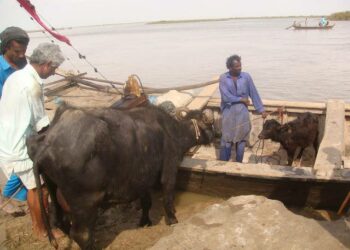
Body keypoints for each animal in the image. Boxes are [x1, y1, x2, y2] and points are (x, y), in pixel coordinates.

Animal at [26, 103, 215, 248]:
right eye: (209, 124)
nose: (216, 134)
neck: (172, 131)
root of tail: (48, 143)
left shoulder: (142, 177)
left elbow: (146, 202)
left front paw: (145, 221)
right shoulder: (169, 169)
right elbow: (167, 196)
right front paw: (172, 219)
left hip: (52, 187)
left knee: (60, 220)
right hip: (86, 201)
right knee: (81, 234)